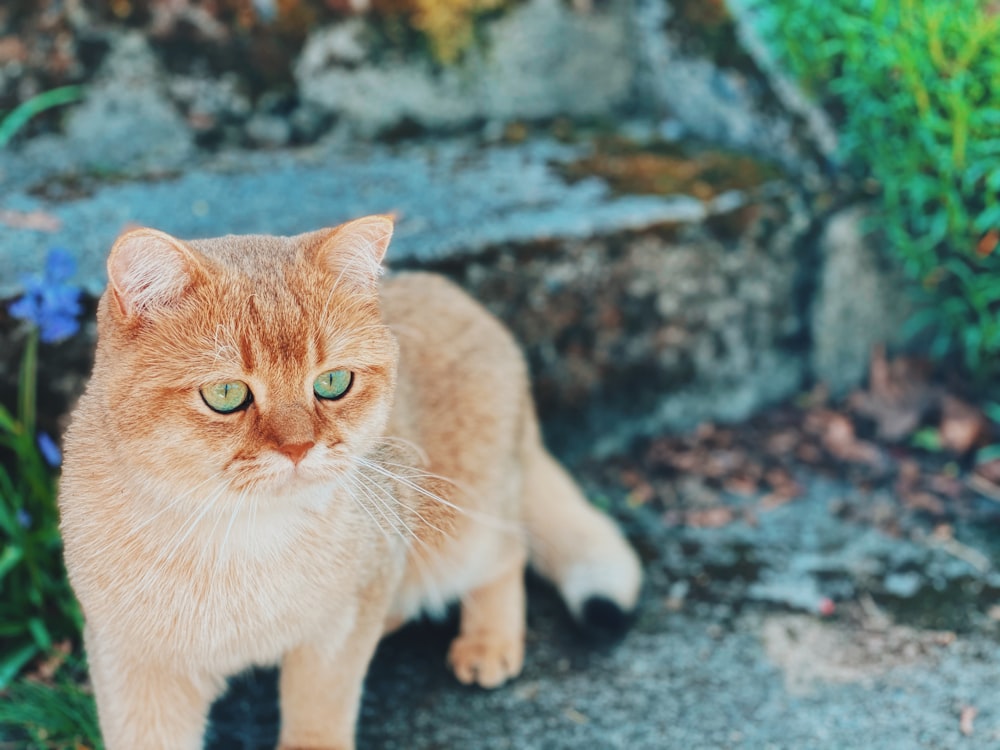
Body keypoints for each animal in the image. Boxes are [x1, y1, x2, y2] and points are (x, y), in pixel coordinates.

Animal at [60, 216, 640, 750]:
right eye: (225, 394)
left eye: (333, 383)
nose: (298, 448)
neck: (238, 542)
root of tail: (470, 305)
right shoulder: (133, 663)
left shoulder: (336, 633)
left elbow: (320, 711)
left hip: (455, 531)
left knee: (507, 548)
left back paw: (488, 639)